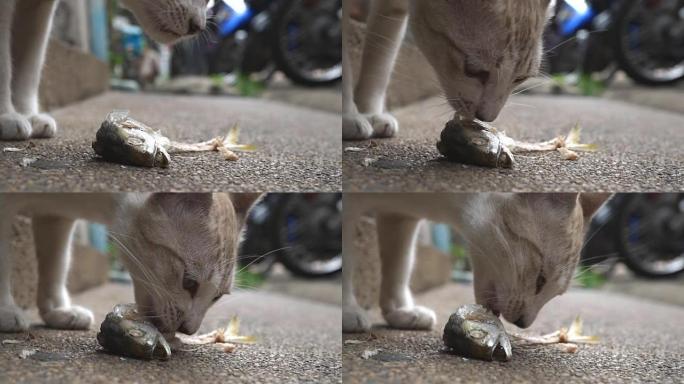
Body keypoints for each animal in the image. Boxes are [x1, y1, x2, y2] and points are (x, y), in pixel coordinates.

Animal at [0, 0, 207, 141]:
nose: (198, 27)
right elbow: (6, 67)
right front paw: (6, 116)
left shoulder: (39, 8)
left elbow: (30, 66)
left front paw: (29, 115)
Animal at [0, 192, 260, 340]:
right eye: (188, 282)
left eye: (217, 297)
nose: (189, 330)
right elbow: (6, 261)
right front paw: (5, 310)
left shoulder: (57, 215)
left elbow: (56, 263)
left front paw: (58, 311)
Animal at [342, 0, 556, 141]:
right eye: (473, 70)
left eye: (520, 79)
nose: (487, 118)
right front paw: (350, 116)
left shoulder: (392, 10)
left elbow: (379, 63)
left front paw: (371, 113)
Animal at [342, 194, 608, 332]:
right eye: (540, 279)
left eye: (556, 294)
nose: (523, 325)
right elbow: (347, 260)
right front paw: (348, 310)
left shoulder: (401, 215)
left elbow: (399, 267)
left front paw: (401, 312)